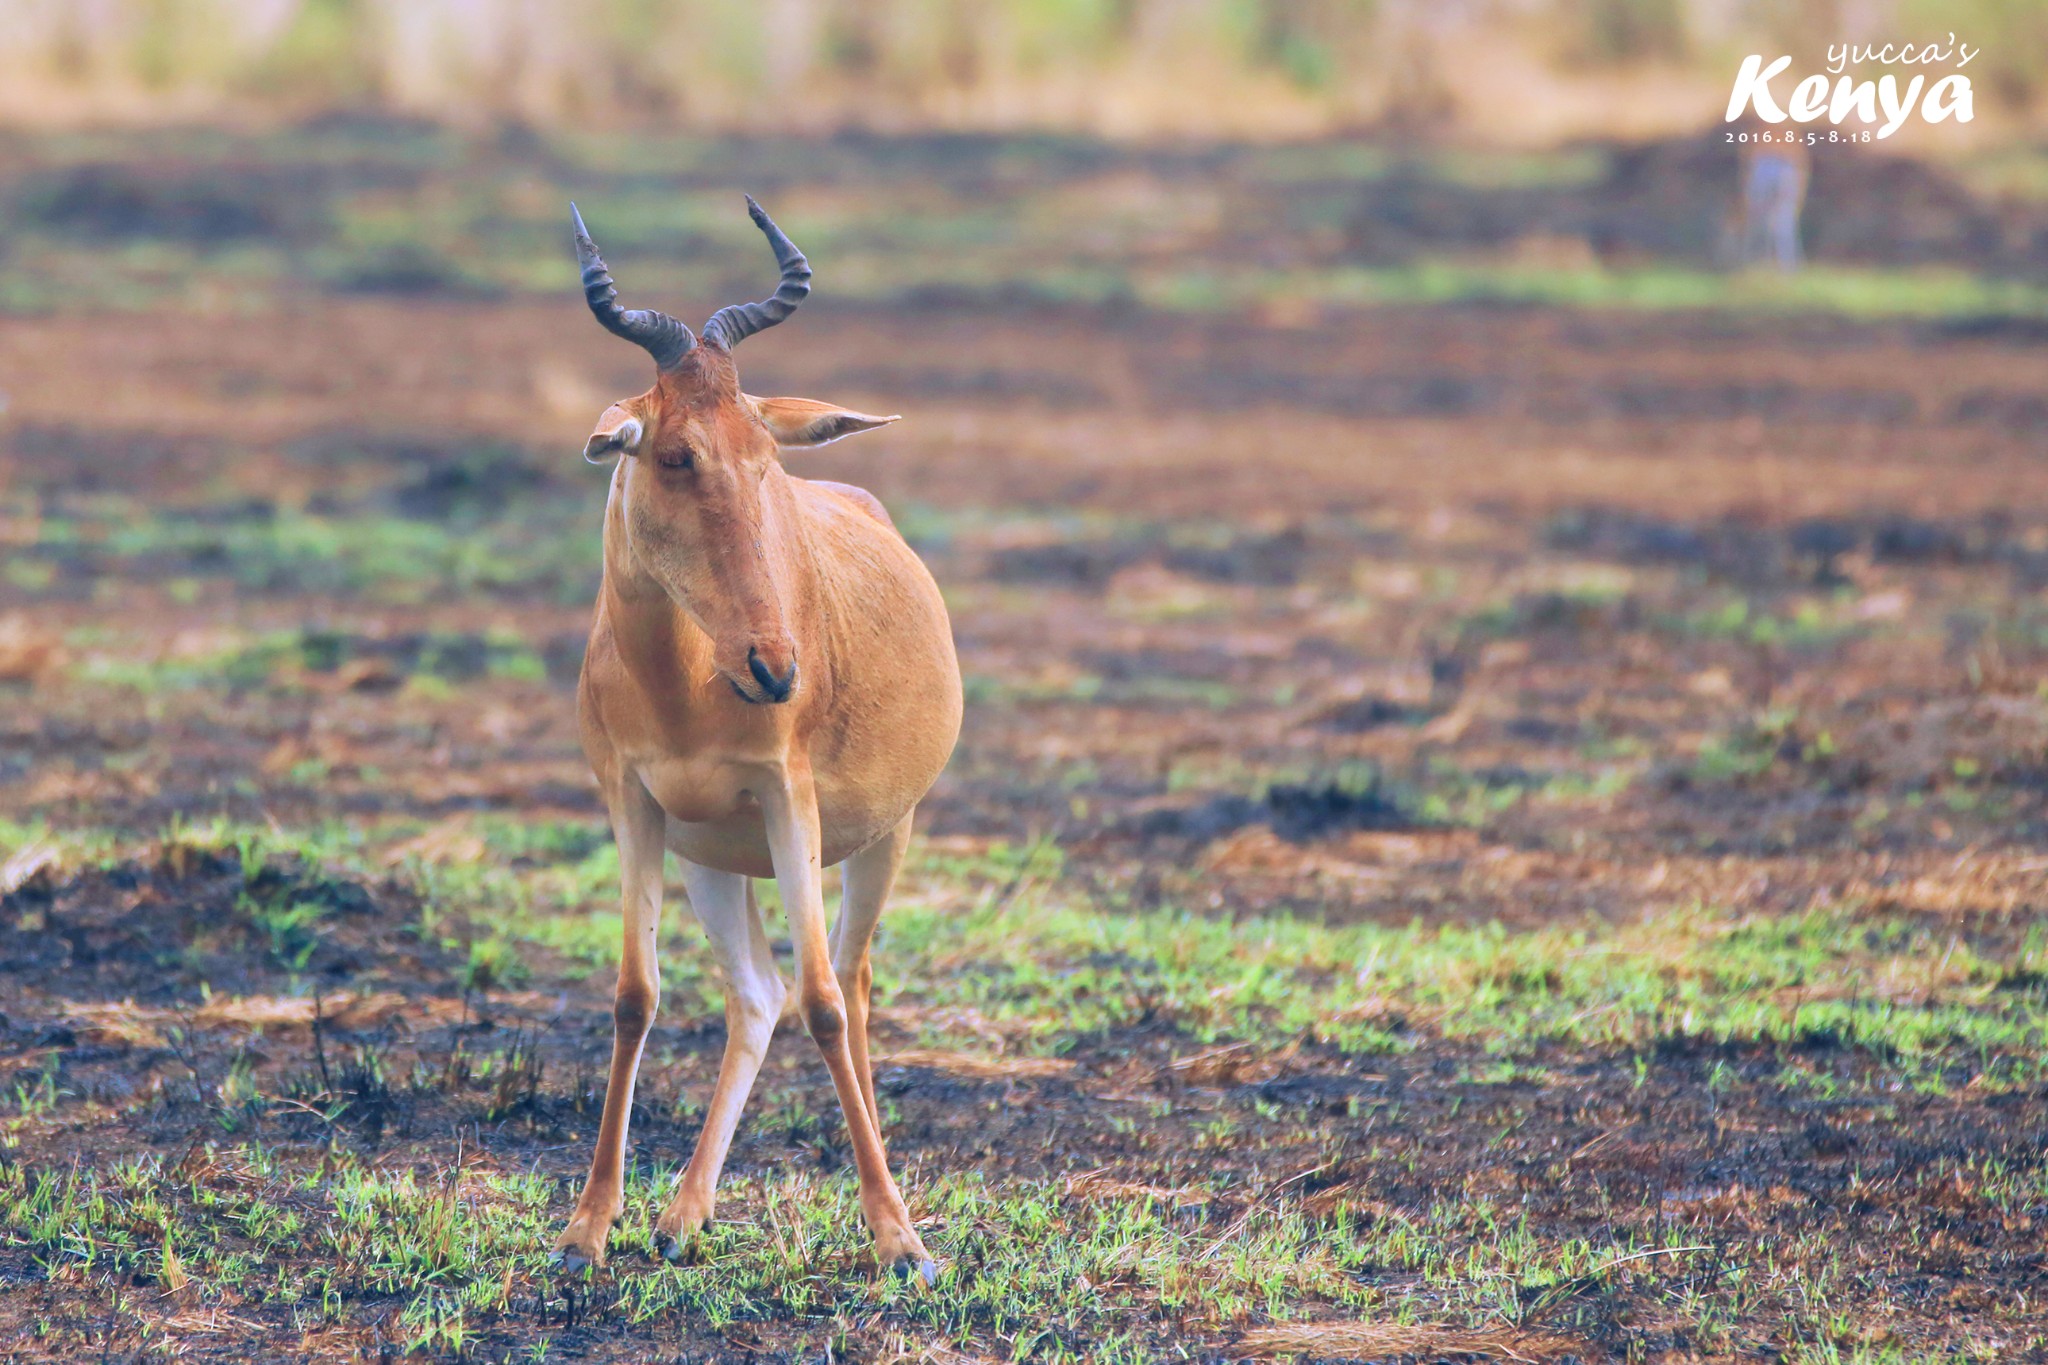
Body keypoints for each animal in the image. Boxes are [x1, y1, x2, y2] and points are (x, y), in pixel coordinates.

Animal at [557, 194, 962, 1285]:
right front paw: (587, 1229)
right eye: (672, 452)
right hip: (712, 858)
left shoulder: (791, 800)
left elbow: (824, 1002)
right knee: (756, 993)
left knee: (846, 987)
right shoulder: (634, 806)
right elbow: (634, 995)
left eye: (765, 456)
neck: (683, 684)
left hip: (879, 838)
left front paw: (900, 1242)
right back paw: (681, 1216)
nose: (774, 667)